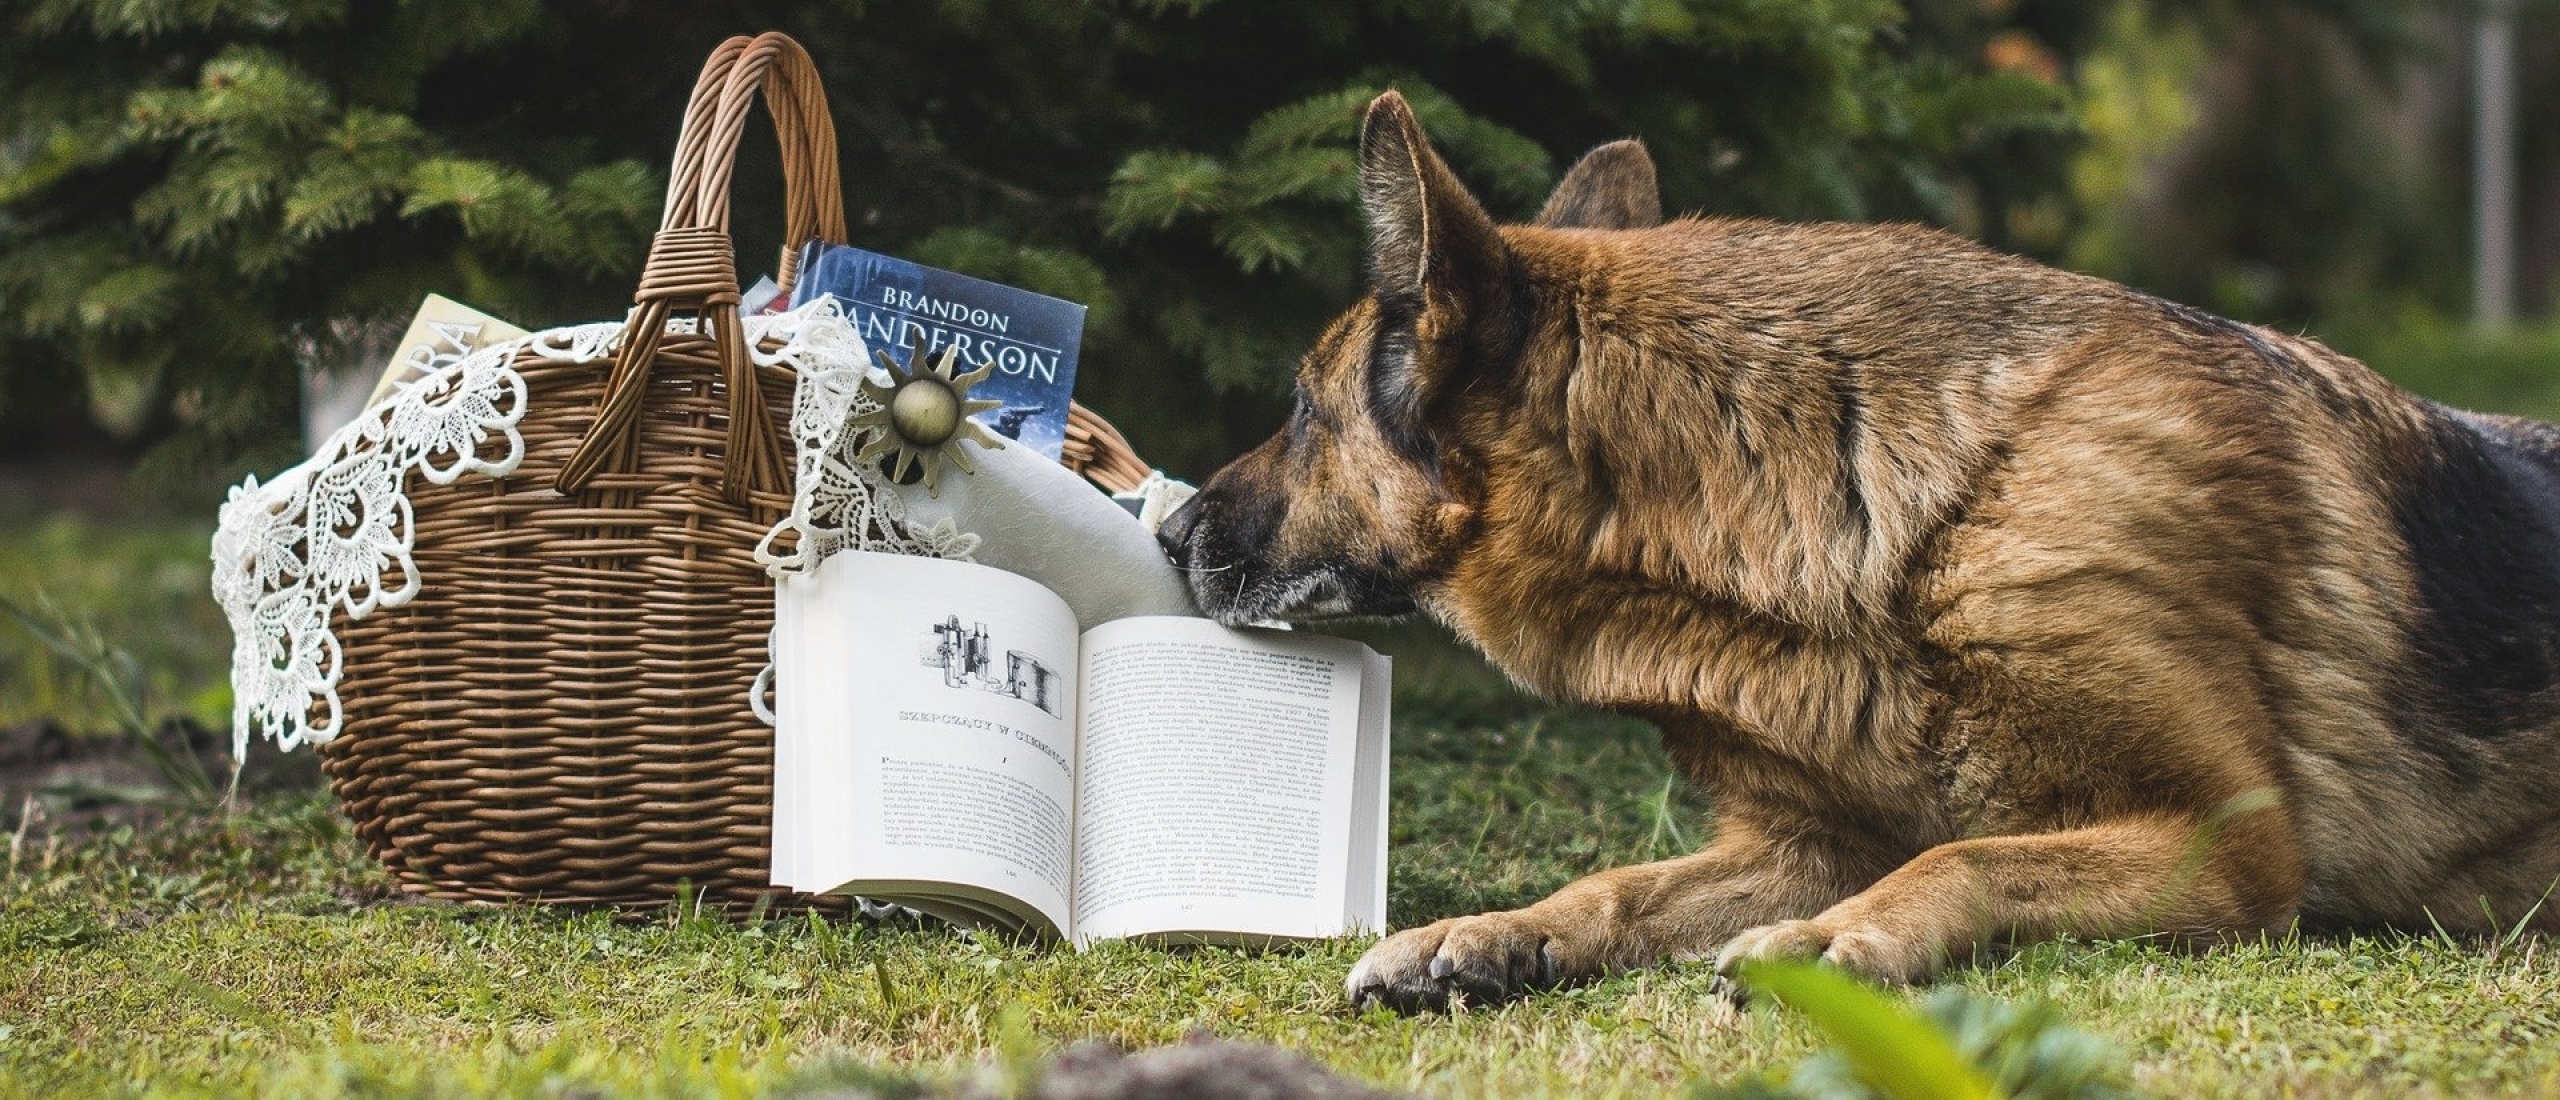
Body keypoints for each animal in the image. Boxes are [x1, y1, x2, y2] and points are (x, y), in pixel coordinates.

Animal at [1157, 90, 2560, 1007]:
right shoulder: (1804, 843)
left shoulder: (2227, 841)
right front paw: (1491, 932)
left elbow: (1967, 848)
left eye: (1300, 407)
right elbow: (1618, 882)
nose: (1167, 529)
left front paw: (1836, 942)